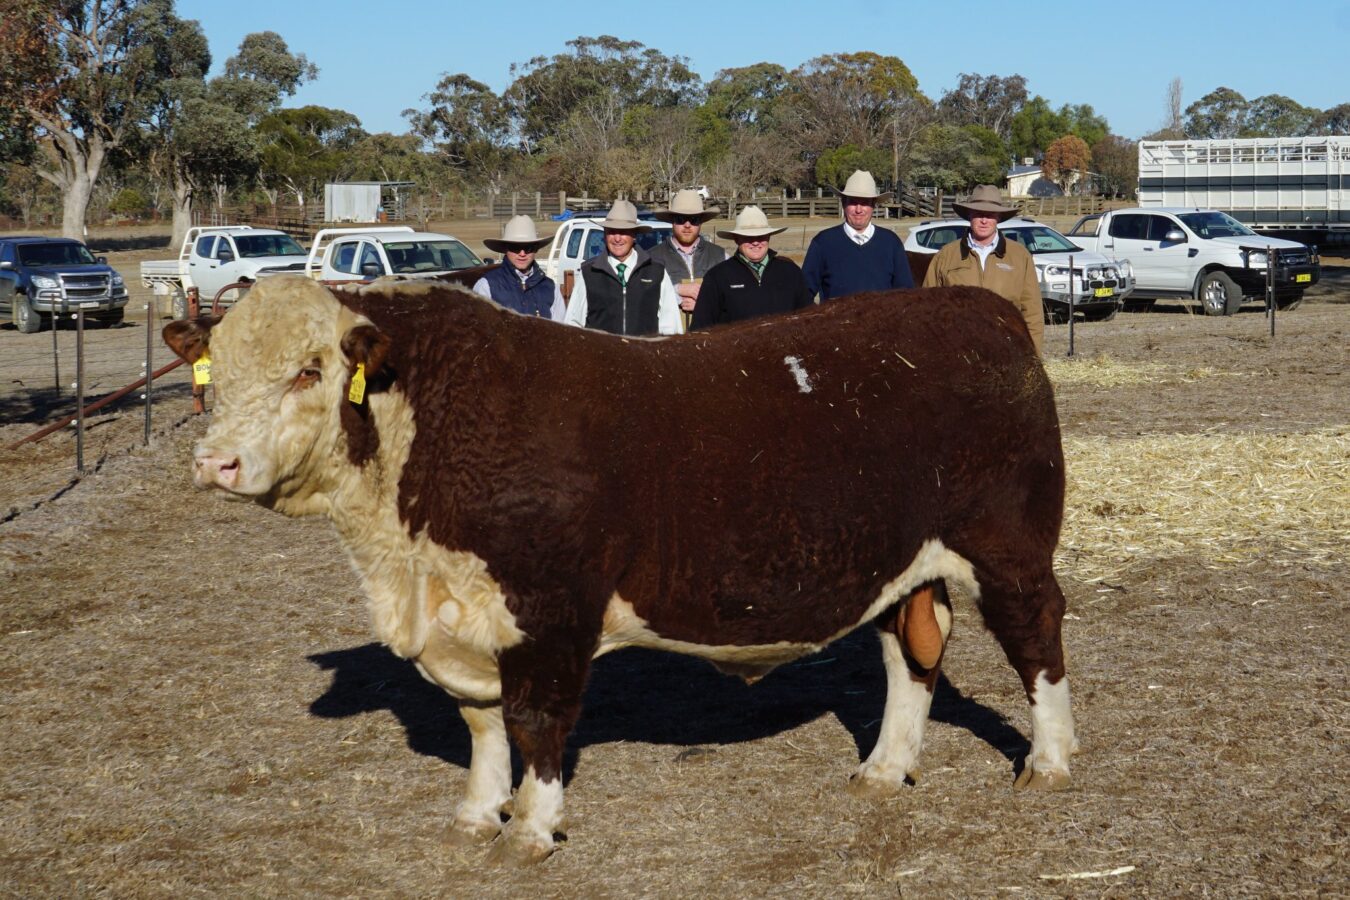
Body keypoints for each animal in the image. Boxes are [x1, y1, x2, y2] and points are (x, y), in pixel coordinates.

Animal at [163, 275, 1075, 865]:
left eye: (308, 370)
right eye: (217, 371)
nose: (215, 463)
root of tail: (978, 307)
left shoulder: (548, 612)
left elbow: (534, 722)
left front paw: (531, 830)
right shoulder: (463, 615)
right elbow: (480, 726)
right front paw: (476, 816)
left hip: (1009, 548)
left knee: (1036, 638)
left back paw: (1049, 762)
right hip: (901, 561)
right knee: (912, 650)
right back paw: (885, 770)